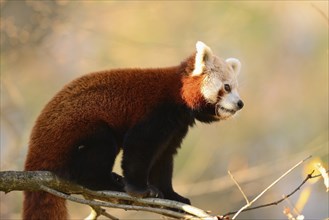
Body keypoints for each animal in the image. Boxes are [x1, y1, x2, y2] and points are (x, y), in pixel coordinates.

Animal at [23, 41, 242, 220]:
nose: (240, 104)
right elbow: (139, 147)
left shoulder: (176, 127)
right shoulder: (155, 112)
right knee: (101, 146)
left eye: (236, 88)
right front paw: (141, 189)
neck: (178, 95)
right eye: (227, 87)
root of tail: (34, 155)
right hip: (76, 131)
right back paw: (106, 183)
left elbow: (163, 158)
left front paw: (173, 197)